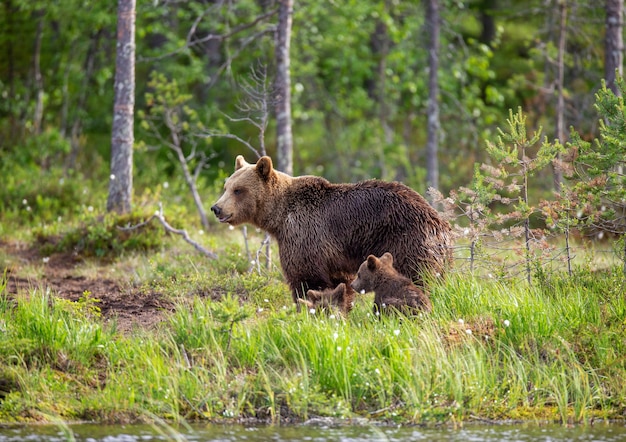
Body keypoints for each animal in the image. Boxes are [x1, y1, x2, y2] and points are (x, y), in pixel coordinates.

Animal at [212, 155, 450, 304]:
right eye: (226, 187)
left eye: (238, 190)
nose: (216, 208)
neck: (278, 218)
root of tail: (440, 223)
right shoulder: (334, 257)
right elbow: (340, 284)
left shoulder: (305, 234)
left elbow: (306, 279)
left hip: (406, 241)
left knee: (418, 277)